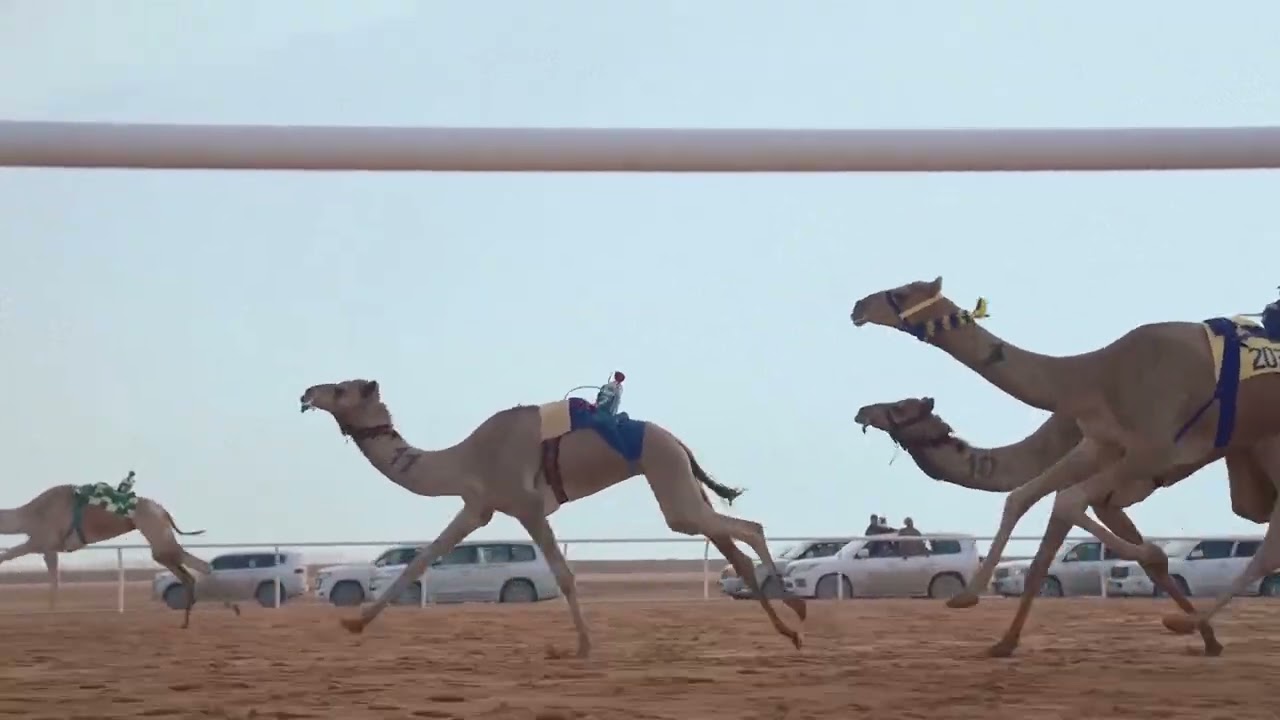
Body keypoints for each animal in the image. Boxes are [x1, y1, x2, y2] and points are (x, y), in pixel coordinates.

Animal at [0, 471, 211, 627]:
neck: (29, 516)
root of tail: (164, 511)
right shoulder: (46, 548)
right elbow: (53, 578)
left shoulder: (42, 542)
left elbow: (46, 577)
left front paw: (52, 615)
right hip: (160, 535)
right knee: (184, 570)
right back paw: (186, 622)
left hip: (156, 531)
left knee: (190, 563)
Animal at [299, 378, 806, 658]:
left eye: (341, 389)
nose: (306, 393)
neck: (465, 458)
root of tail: (679, 441)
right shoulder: (477, 508)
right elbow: (422, 559)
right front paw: (355, 624)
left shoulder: (525, 504)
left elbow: (563, 574)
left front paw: (581, 647)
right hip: (680, 483)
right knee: (728, 540)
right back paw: (788, 629)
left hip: (668, 478)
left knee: (746, 529)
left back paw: (798, 611)